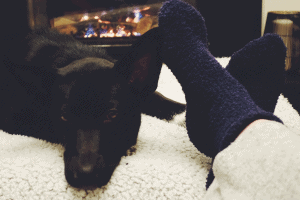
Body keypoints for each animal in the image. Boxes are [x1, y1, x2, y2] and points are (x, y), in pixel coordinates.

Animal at [0, 27, 185, 188]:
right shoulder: (15, 119)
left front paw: (182, 112)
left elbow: (156, 96)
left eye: (112, 115)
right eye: (64, 117)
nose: (85, 177)